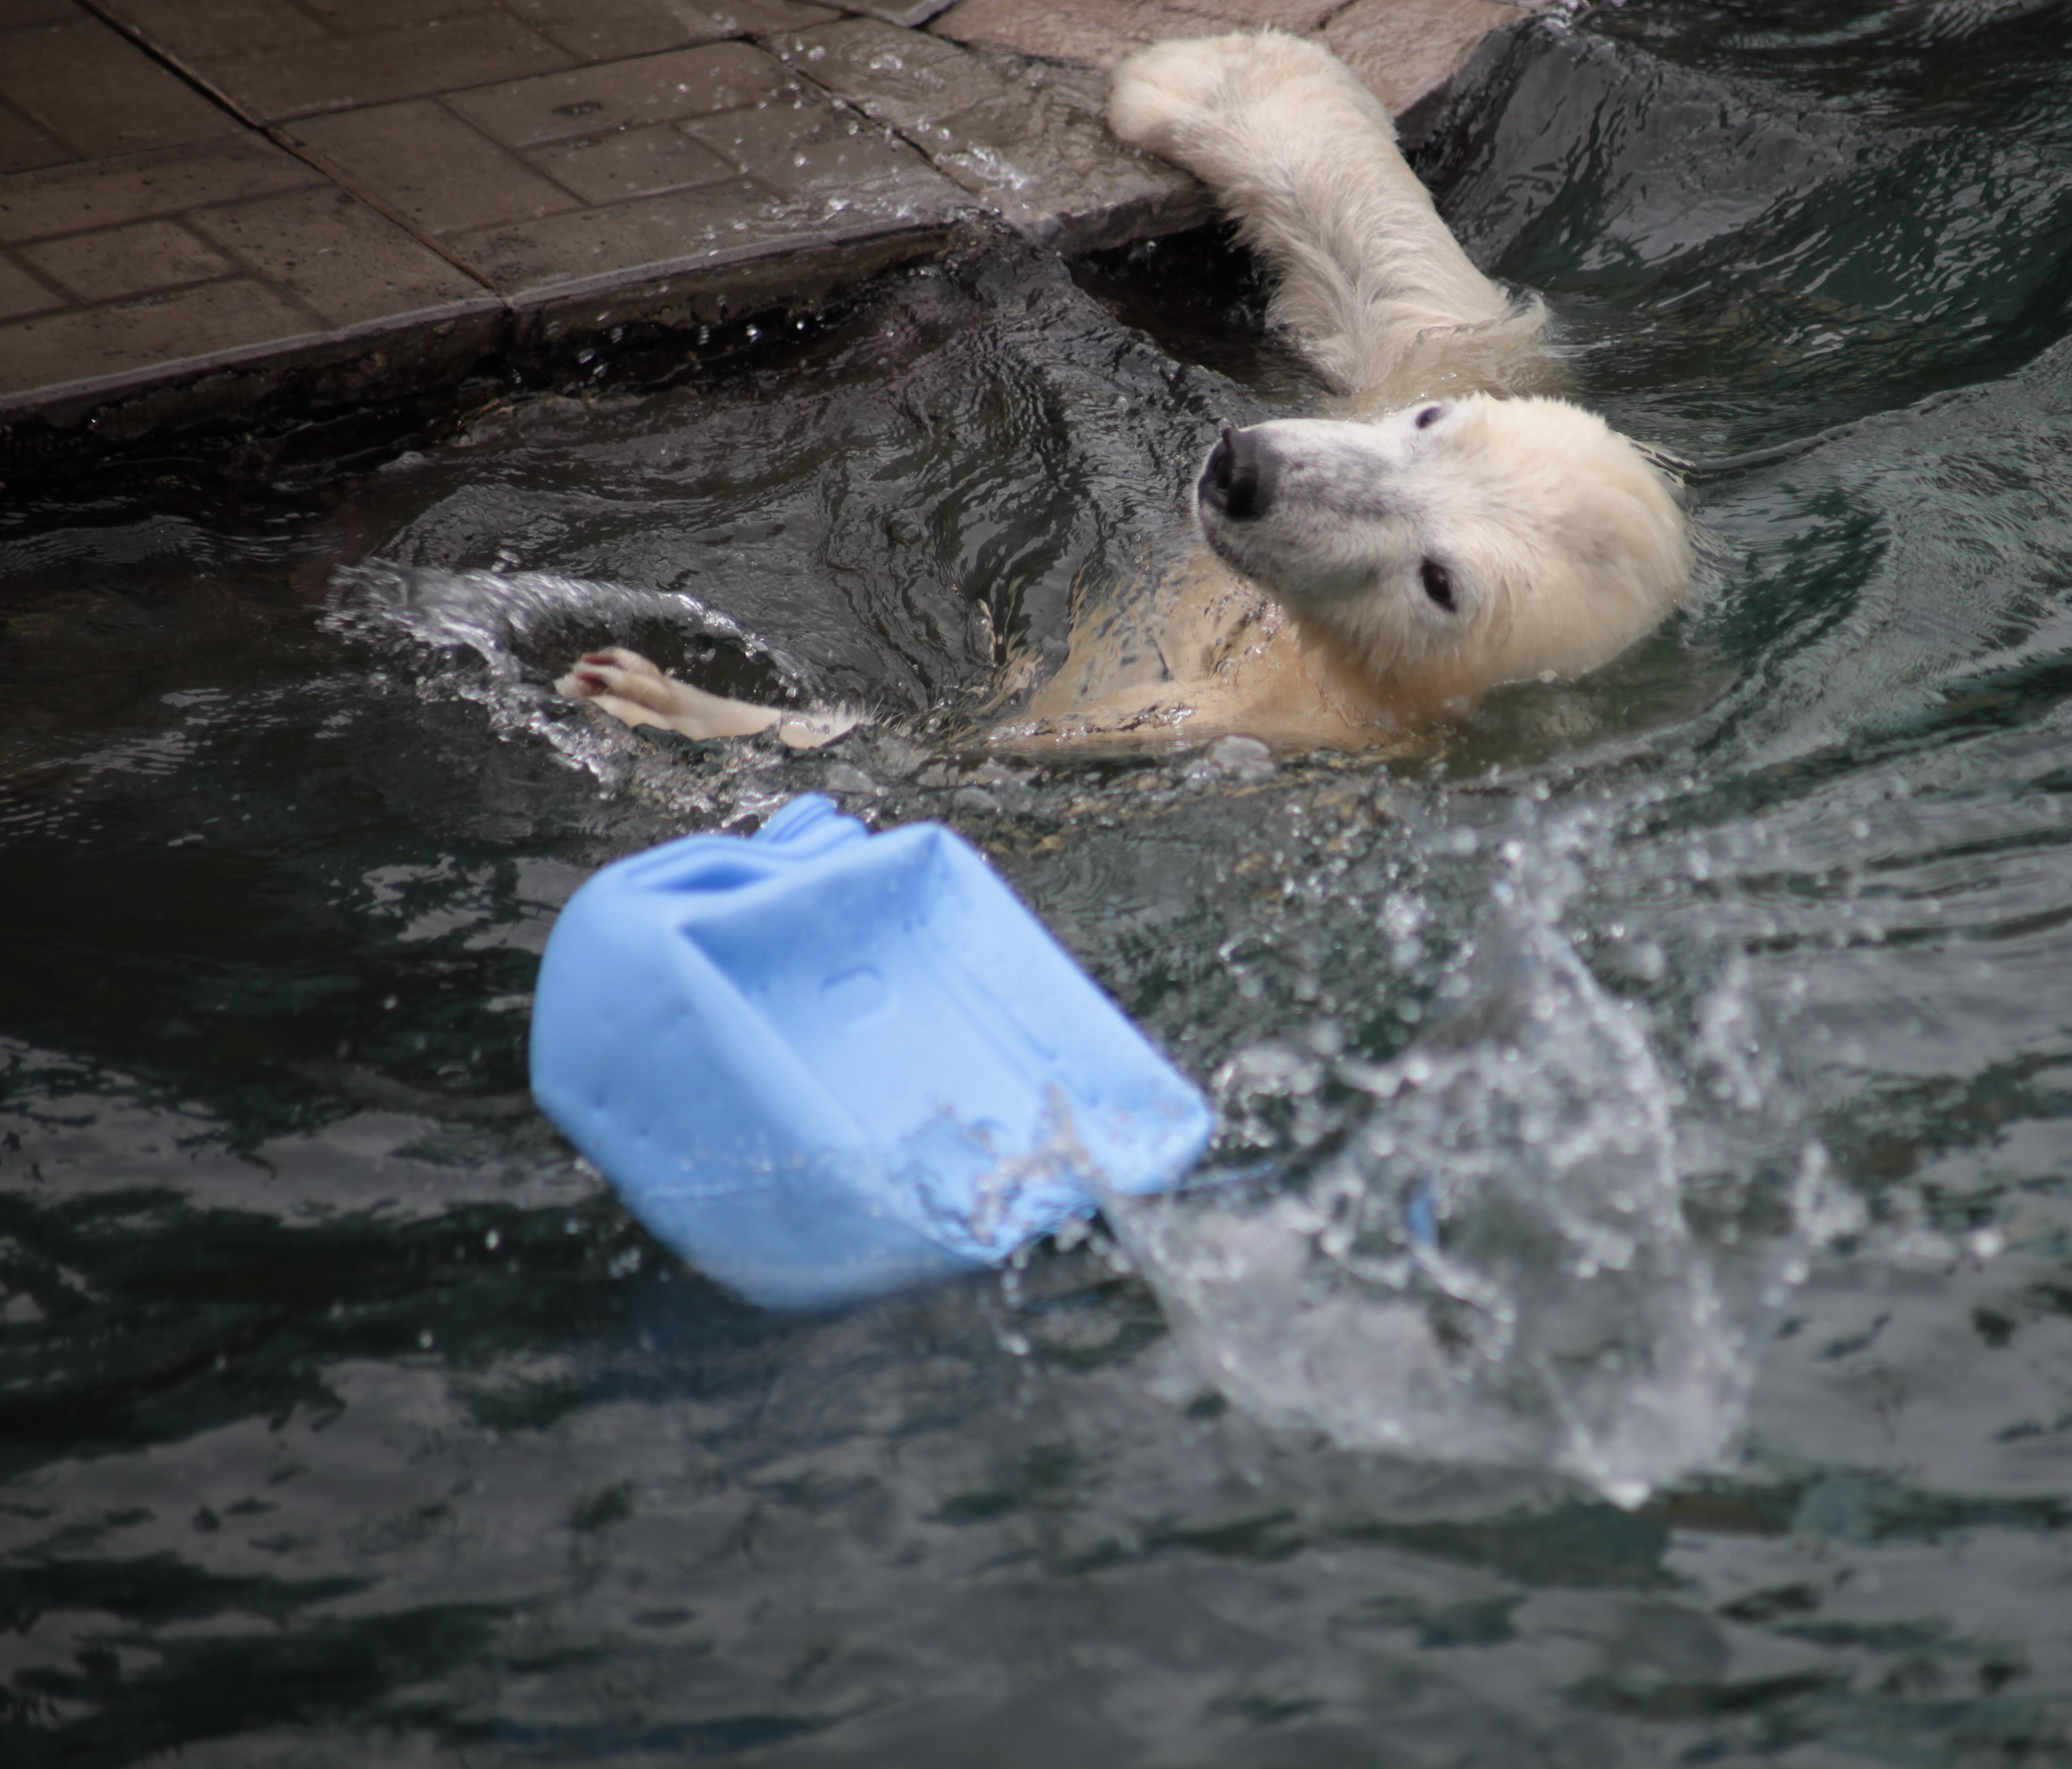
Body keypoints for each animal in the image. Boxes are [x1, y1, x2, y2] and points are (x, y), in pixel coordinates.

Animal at [559, 33, 1690, 754]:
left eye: (1440, 582)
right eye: (1427, 424)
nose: (1245, 473)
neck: (1296, 651)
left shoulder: (1232, 720)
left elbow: (967, 754)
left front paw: (665, 701)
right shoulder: (1472, 365)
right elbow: (1414, 294)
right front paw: (1204, 73)